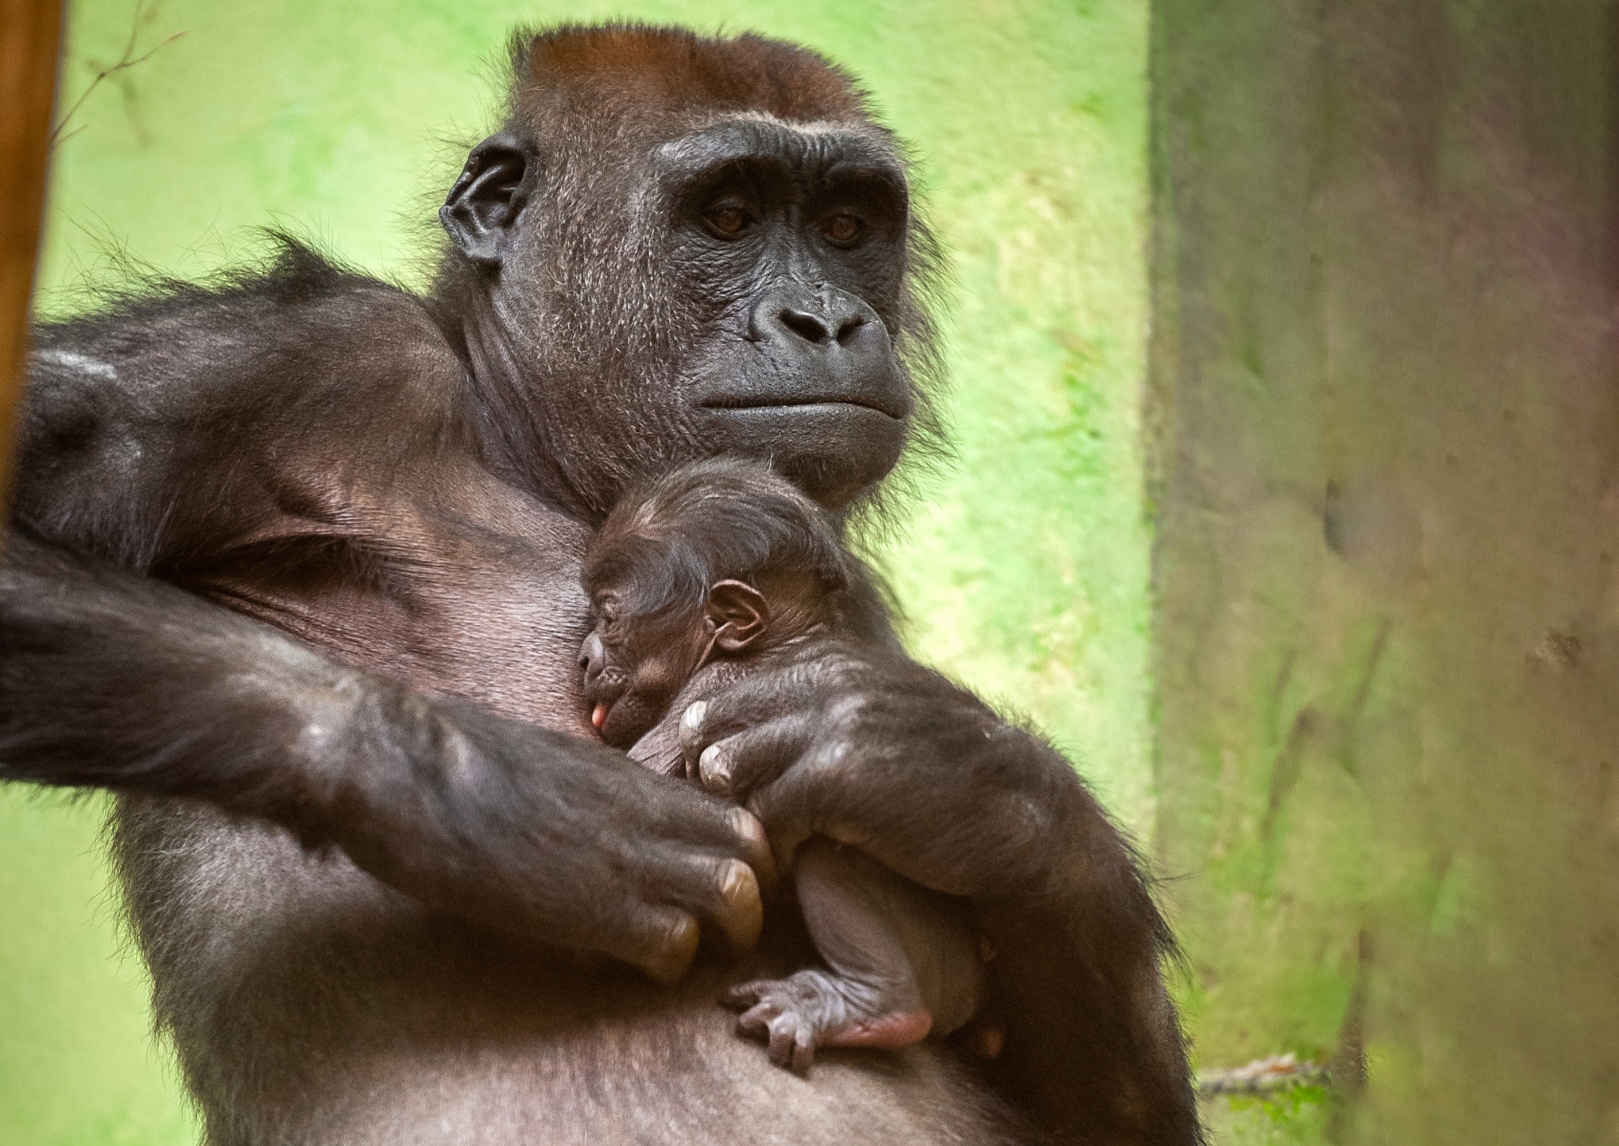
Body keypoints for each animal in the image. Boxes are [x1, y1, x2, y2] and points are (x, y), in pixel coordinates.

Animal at [576, 459, 990, 1074]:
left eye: (608, 616)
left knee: (827, 851)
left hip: (938, 962)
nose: (585, 656)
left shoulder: (705, 690)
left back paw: (873, 1005)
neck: (776, 639)